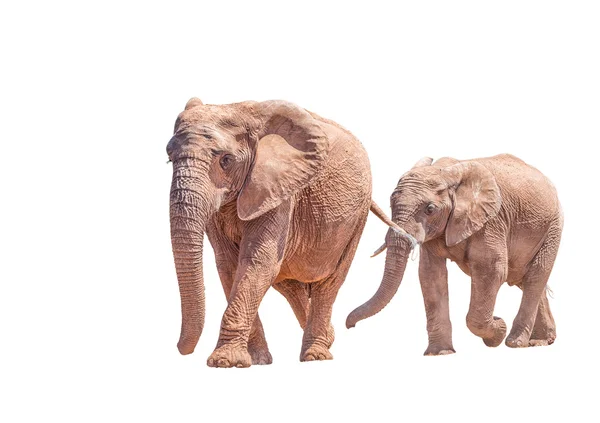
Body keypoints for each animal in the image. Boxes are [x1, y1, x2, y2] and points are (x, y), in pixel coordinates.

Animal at [169, 98, 412, 368]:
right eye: (169, 157)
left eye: (226, 160)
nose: (182, 349)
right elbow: (229, 265)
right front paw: (257, 361)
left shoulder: (279, 189)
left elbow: (257, 261)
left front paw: (225, 362)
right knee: (290, 286)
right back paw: (327, 338)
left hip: (357, 216)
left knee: (330, 283)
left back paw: (316, 355)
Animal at [346, 155, 564, 354]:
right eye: (391, 203)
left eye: (430, 209)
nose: (350, 326)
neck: (446, 172)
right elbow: (430, 276)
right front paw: (440, 353)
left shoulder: (491, 221)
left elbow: (492, 270)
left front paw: (498, 330)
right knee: (525, 279)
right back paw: (540, 342)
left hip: (553, 227)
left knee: (535, 276)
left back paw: (516, 343)